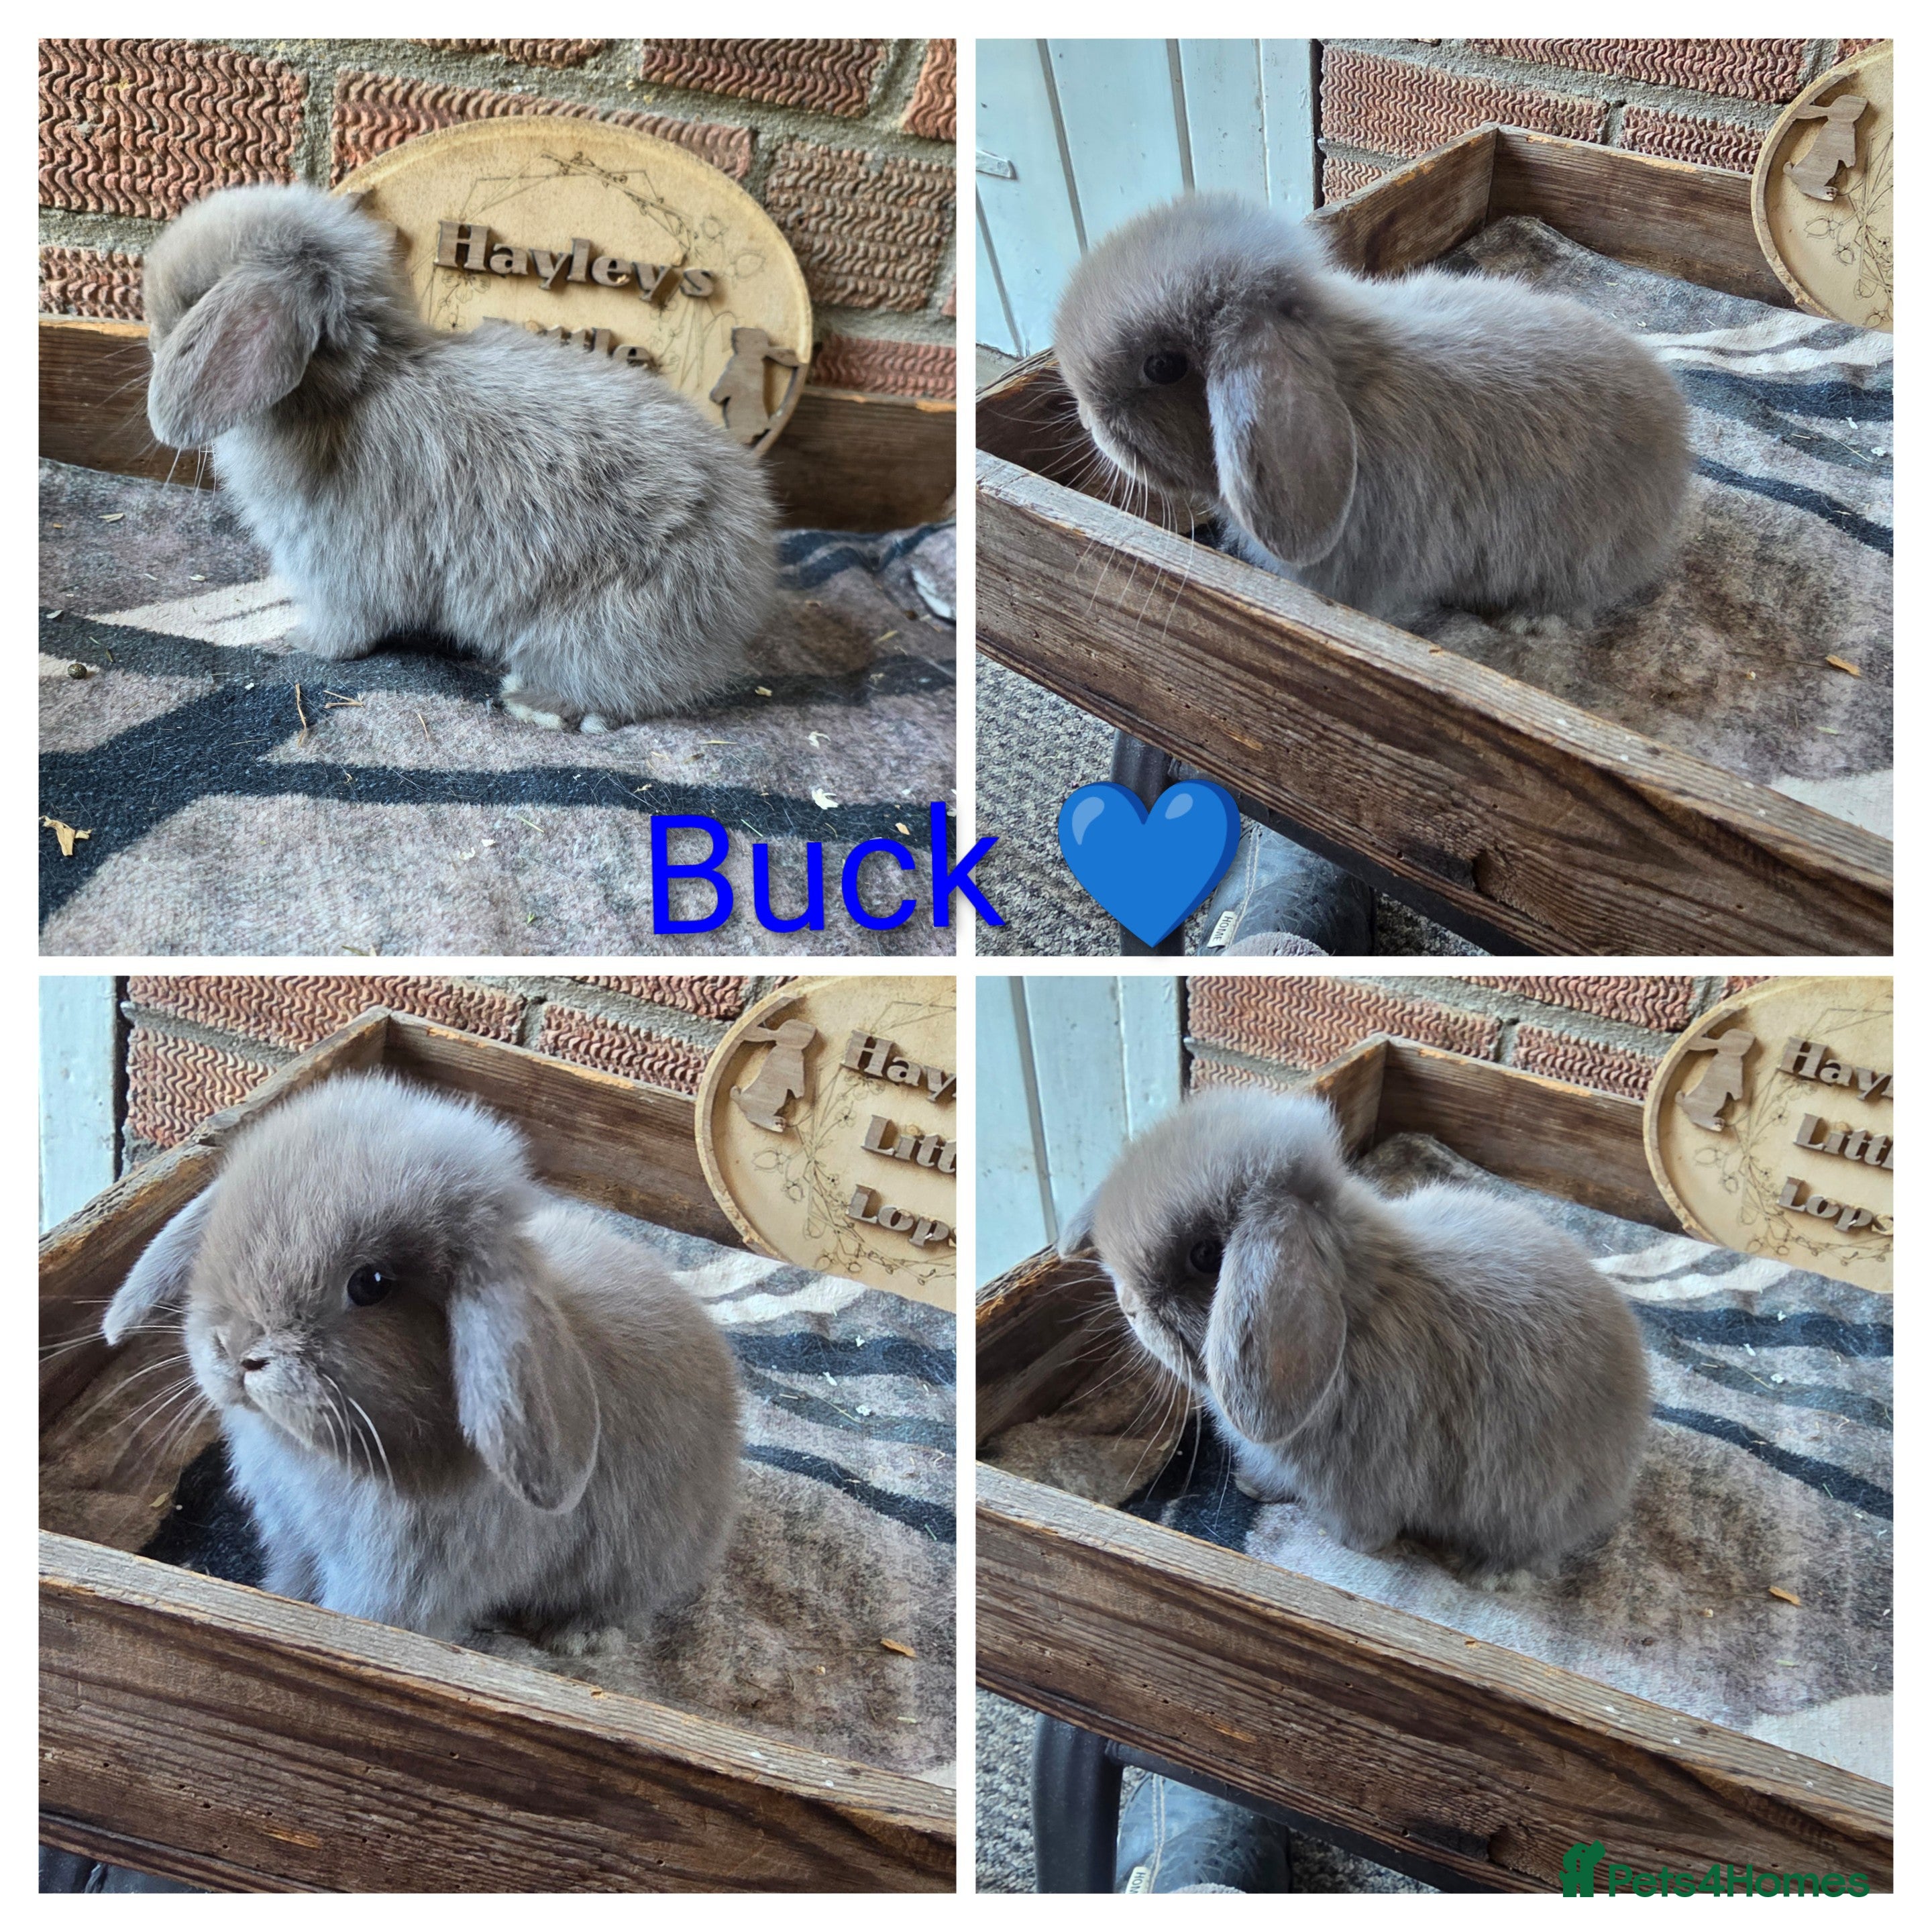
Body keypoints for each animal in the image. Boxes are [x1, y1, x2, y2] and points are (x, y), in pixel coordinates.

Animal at [101, 1071, 742, 1649]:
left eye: (371, 1284)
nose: (237, 1353)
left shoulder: (396, 1580)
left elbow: (365, 1620)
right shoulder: (293, 1536)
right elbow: (292, 1581)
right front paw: (279, 1600)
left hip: (641, 1562)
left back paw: (576, 1637)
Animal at [142, 182, 777, 731]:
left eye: (192, 299)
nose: (151, 342)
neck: (349, 387)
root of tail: (749, 569)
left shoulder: (338, 566)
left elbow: (346, 628)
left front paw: (303, 643)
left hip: (606, 624)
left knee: (623, 685)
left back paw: (536, 703)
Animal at [1060, 1088, 1651, 1586]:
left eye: (1207, 1256)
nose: (1129, 1306)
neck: (1353, 1312)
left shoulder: (1364, 1481)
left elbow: (1365, 1531)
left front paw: (1342, 1540)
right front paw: (1255, 1487)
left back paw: (1481, 1573)